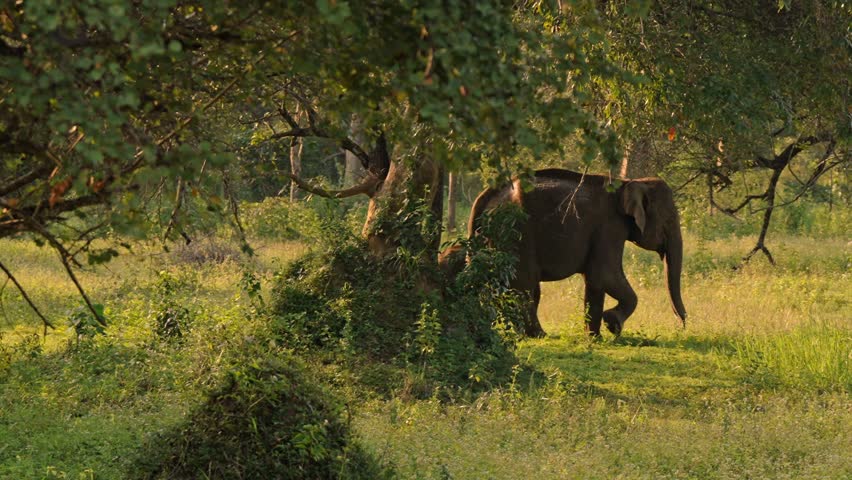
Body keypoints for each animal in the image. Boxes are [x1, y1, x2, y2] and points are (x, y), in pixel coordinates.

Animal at [465, 168, 687, 337]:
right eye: (668, 220)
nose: (682, 326)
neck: (630, 183)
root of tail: (481, 203)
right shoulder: (609, 226)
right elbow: (605, 274)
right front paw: (612, 324)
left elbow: (595, 281)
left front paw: (594, 337)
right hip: (517, 235)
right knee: (524, 286)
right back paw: (537, 335)